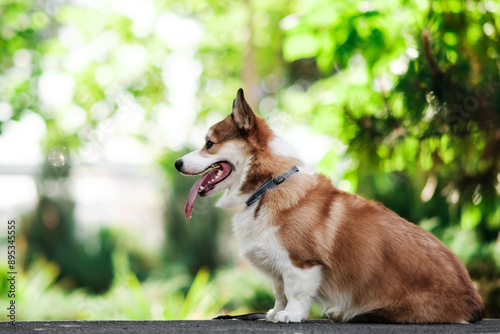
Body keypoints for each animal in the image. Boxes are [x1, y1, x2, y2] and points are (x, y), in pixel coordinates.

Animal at [175, 88, 484, 324]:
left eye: (209, 144)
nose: (177, 163)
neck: (267, 186)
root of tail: (474, 301)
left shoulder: (300, 263)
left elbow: (295, 291)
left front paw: (290, 316)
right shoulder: (278, 265)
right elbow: (279, 290)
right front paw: (274, 312)